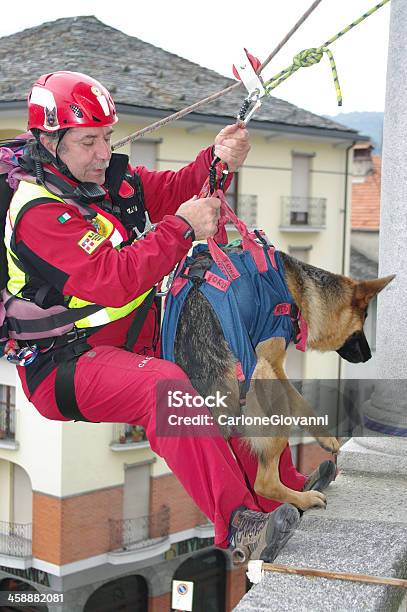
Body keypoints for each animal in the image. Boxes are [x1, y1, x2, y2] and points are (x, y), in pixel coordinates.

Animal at [175, 247, 396, 512]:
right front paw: (327, 438)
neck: (298, 290)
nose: (369, 355)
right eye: (361, 325)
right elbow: (301, 400)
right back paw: (304, 498)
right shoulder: (274, 363)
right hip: (266, 385)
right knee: (264, 483)